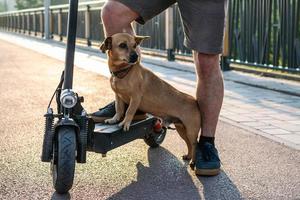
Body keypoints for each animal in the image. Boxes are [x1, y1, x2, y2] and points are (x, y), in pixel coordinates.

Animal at [101, 32, 202, 163]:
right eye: (122, 45)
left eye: (134, 45)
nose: (136, 56)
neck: (124, 72)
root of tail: (194, 101)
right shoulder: (118, 97)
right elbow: (119, 110)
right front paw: (114, 119)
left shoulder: (135, 98)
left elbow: (129, 111)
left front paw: (125, 123)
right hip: (181, 129)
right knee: (189, 144)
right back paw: (188, 156)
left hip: (191, 131)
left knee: (195, 145)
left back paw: (194, 161)